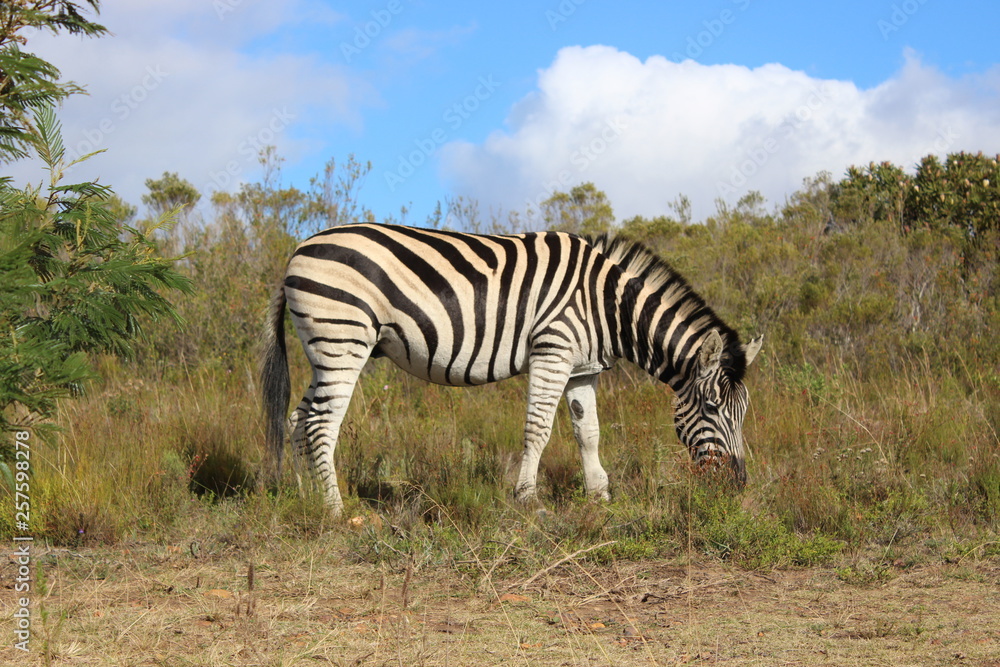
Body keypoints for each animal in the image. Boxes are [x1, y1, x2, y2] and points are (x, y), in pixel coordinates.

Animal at [261, 223, 762, 514]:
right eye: (713, 408)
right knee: (321, 424)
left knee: (298, 419)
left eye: (743, 411)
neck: (607, 304)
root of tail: (299, 249)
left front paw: (599, 497)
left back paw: (304, 499)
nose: (738, 486)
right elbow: (538, 429)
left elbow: (588, 431)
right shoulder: (553, 349)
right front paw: (528, 500)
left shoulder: (583, 368)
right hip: (343, 340)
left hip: (325, 348)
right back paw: (335, 511)